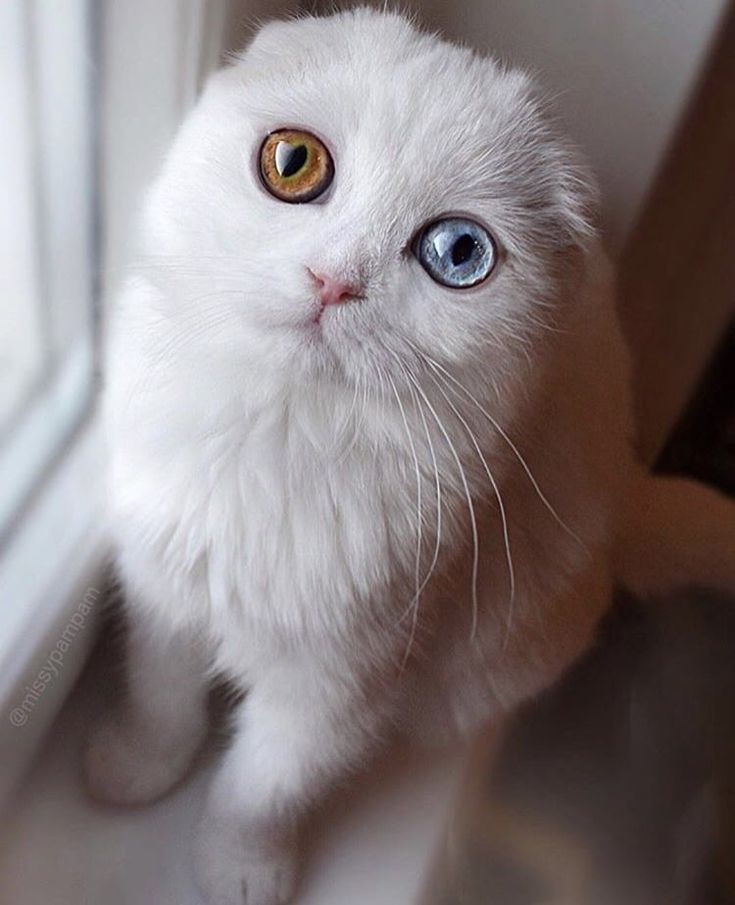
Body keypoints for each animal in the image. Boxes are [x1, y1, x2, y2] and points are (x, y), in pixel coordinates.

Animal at [86, 8, 735, 904]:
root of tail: (623, 498)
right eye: (293, 163)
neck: (280, 434)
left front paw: (241, 870)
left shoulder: (338, 687)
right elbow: (161, 699)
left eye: (458, 253)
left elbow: (262, 786)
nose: (333, 280)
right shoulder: (165, 590)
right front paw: (137, 768)